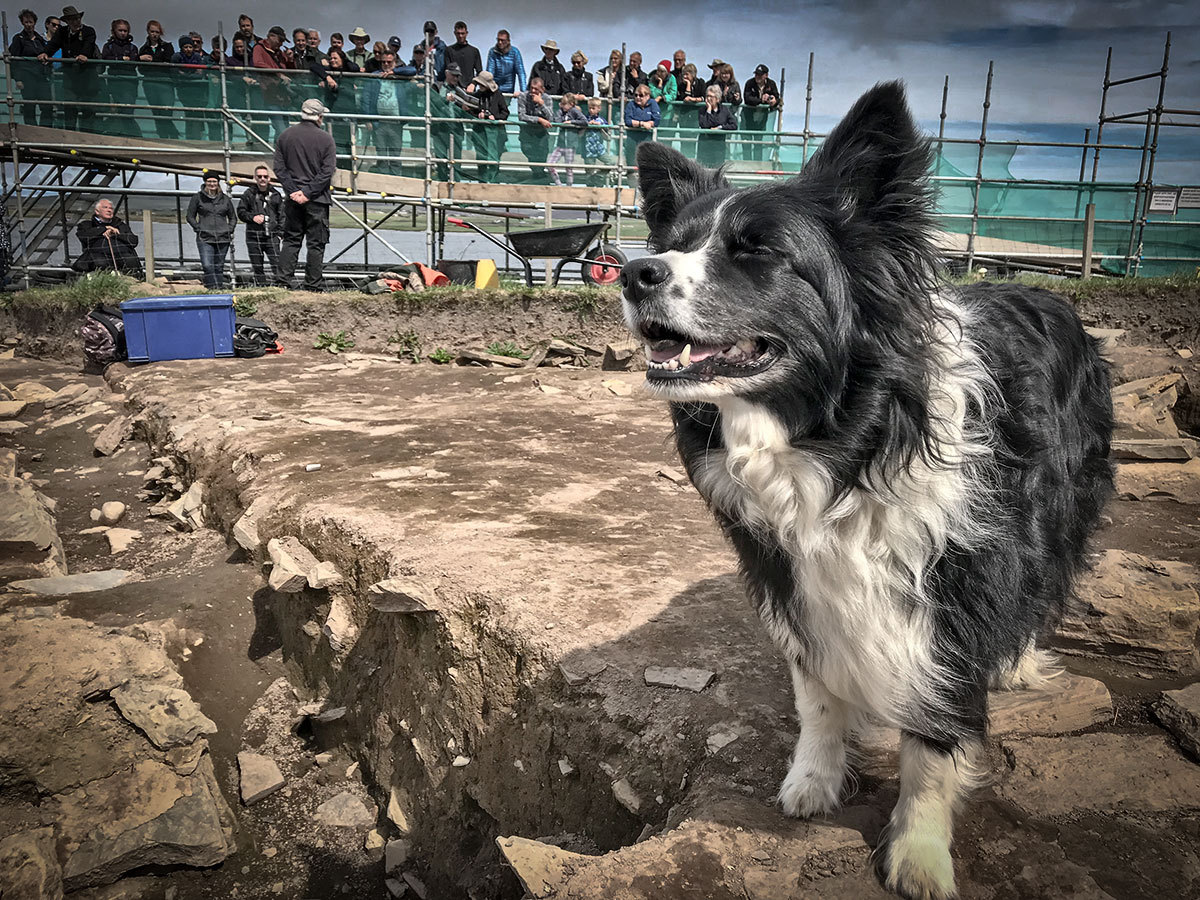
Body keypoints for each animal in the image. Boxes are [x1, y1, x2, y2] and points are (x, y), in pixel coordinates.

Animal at [624, 81, 1108, 897]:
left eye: (757, 250)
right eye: (673, 242)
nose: (633, 271)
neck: (841, 442)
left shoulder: (954, 578)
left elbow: (935, 739)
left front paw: (919, 853)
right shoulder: (793, 571)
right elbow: (816, 688)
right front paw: (813, 781)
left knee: (1041, 587)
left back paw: (1016, 661)